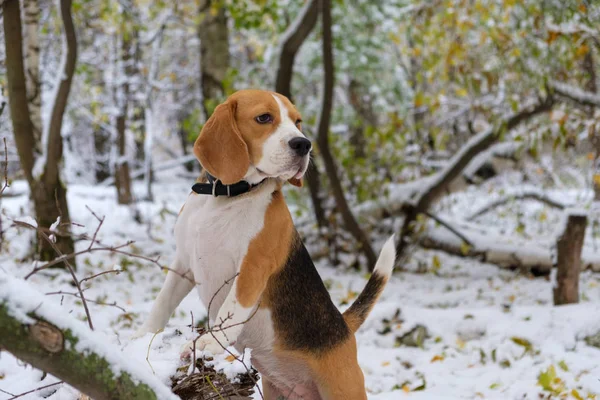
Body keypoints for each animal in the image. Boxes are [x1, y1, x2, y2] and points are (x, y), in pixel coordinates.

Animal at [137, 90, 398, 400]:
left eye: (297, 122)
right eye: (263, 118)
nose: (304, 144)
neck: (225, 197)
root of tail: (343, 326)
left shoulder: (252, 267)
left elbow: (230, 309)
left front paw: (208, 343)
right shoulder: (184, 263)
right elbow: (163, 302)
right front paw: (143, 336)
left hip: (343, 388)